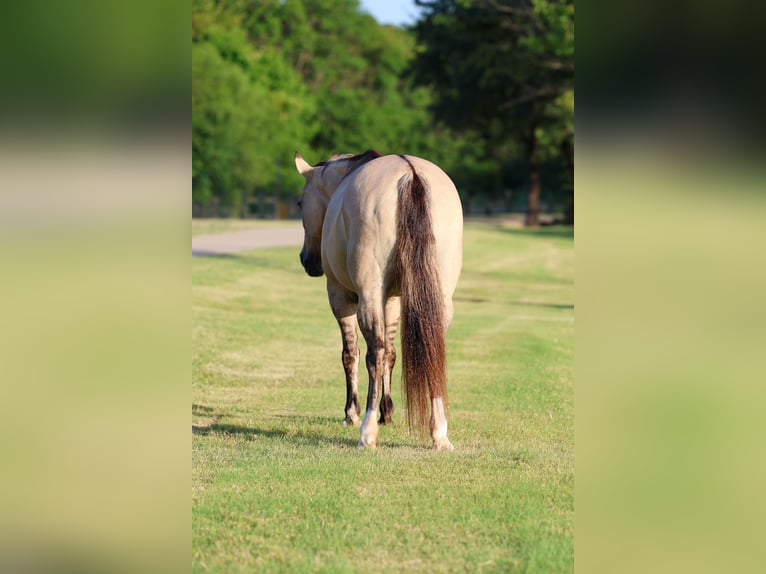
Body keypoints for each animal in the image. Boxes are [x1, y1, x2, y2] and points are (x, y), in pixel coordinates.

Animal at [294, 150, 463, 450]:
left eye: (301, 202)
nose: (307, 259)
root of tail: (411, 175)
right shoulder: (393, 300)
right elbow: (393, 355)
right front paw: (388, 411)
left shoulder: (340, 298)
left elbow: (351, 354)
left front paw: (352, 413)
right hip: (439, 297)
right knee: (432, 350)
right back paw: (439, 432)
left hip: (368, 295)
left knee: (375, 353)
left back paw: (367, 430)